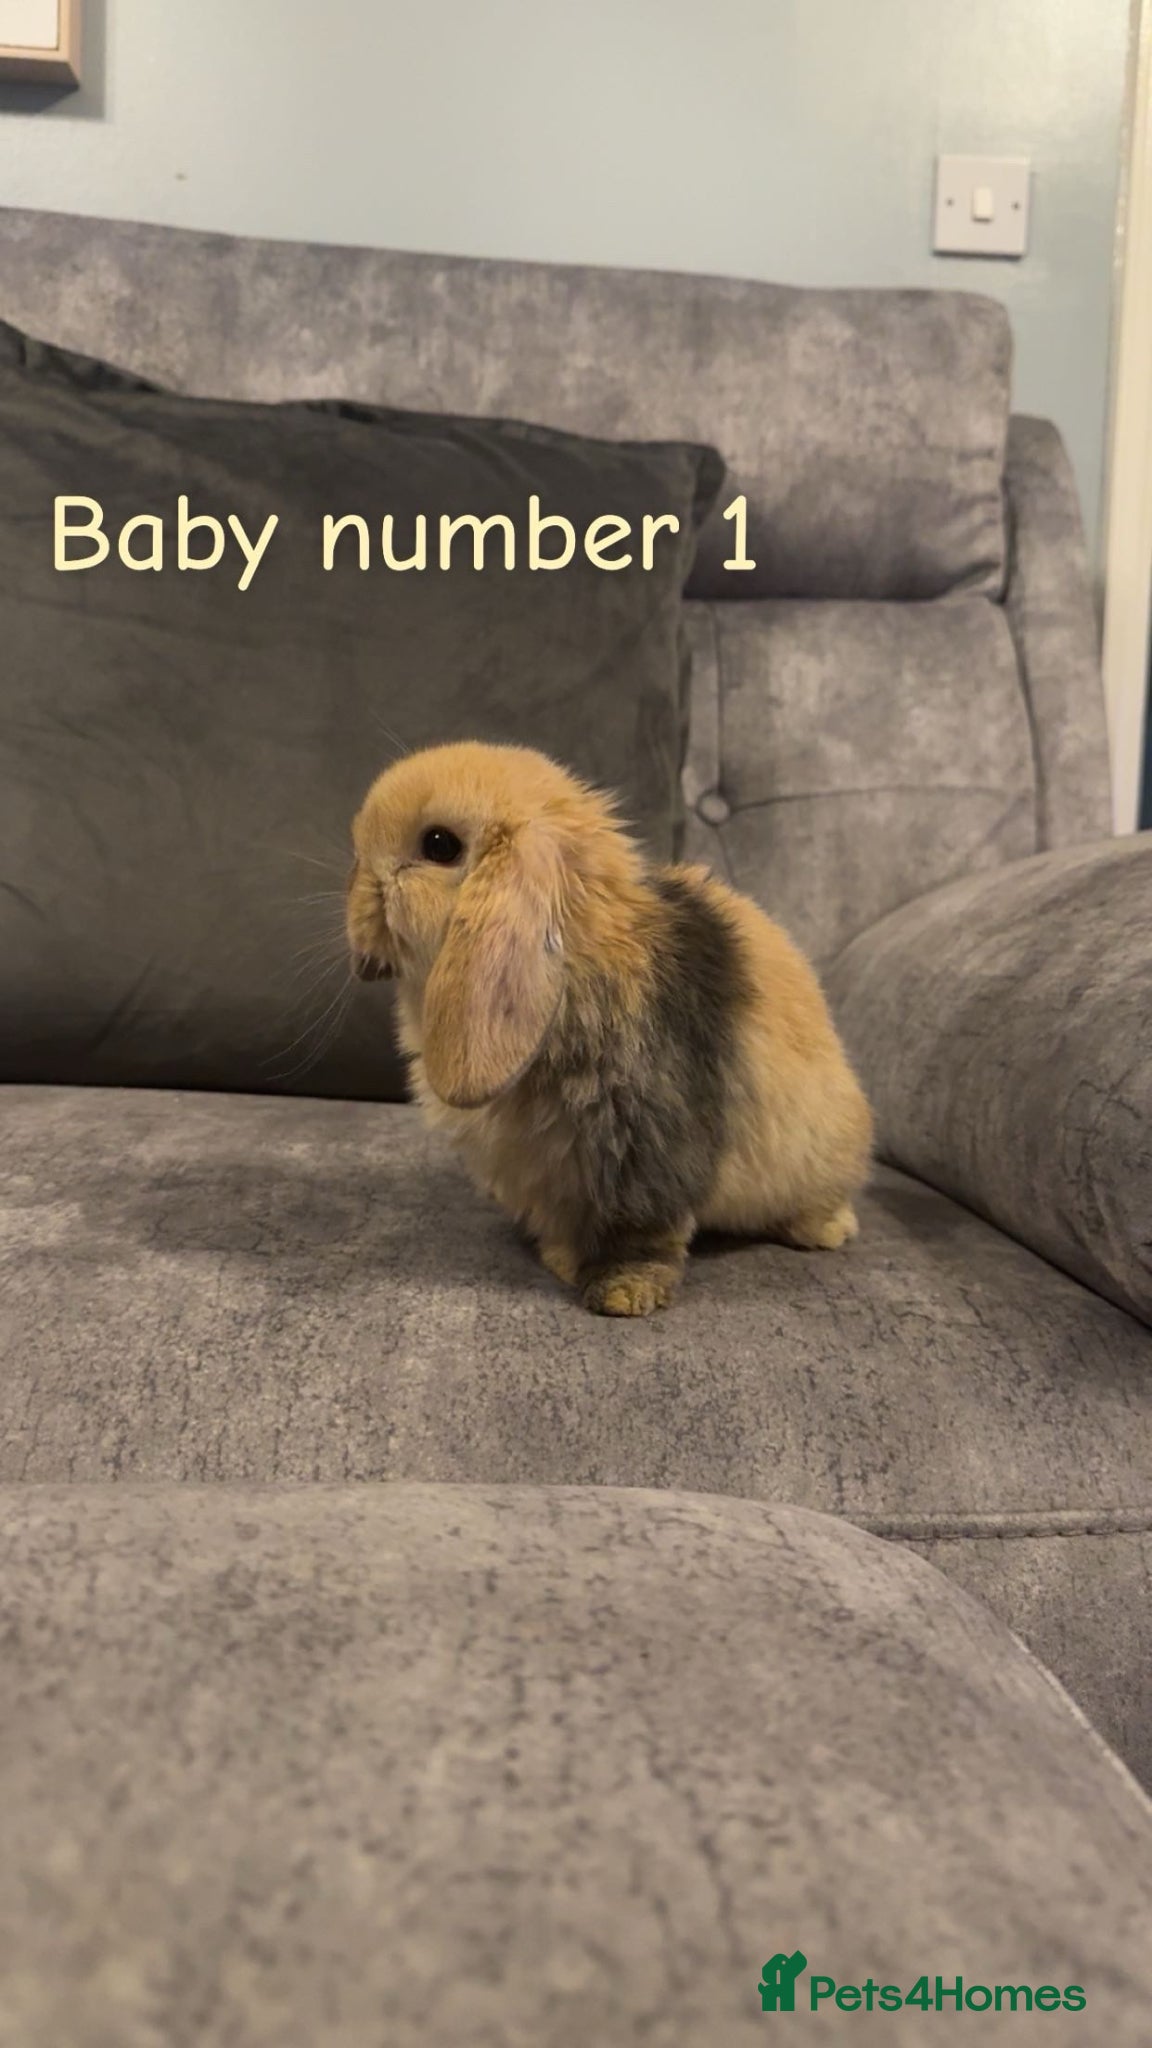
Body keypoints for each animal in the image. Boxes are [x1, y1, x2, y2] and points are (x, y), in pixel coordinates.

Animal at [347, 740, 873, 1316]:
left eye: (439, 845)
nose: (359, 892)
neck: (578, 959)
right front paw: (561, 1258)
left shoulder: (645, 1146)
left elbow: (641, 1230)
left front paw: (623, 1293)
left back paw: (822, 1231)